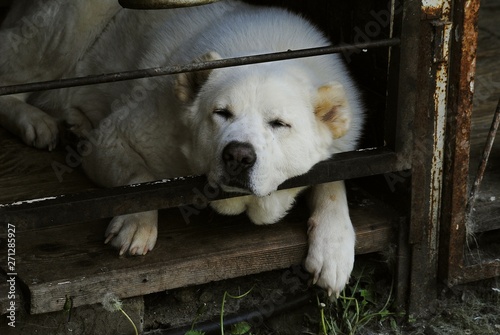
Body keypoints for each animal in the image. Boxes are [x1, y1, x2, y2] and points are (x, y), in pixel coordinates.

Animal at [1, 0, 366, 296]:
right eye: (221, 113)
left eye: (278, 124)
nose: (238, 155)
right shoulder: (115, 136)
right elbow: (140, 178)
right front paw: (137, 222)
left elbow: (334, 180)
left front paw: (334, 249)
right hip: (62, 38)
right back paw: (36, 122)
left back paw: (73, 123)